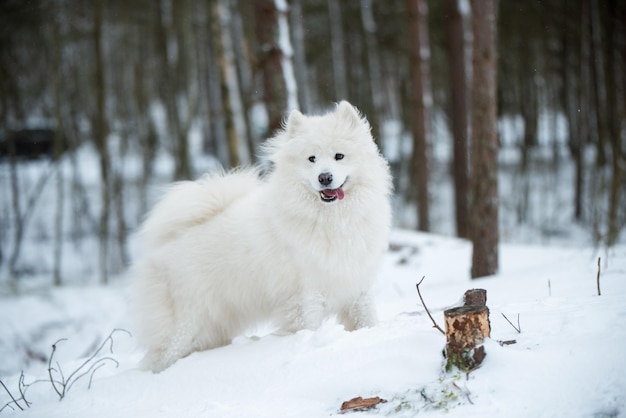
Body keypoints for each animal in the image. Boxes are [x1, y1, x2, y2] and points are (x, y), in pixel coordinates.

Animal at [132, 101, 390, 372]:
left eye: (339, 156)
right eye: (312, 159)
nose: (324, 177)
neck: (333, 219)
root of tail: (162, 247)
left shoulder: (356, 284)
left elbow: (367, 319)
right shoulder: (305, 296)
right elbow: (309, 328)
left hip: (211, 329)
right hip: (186, 326)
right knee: (161, 356)